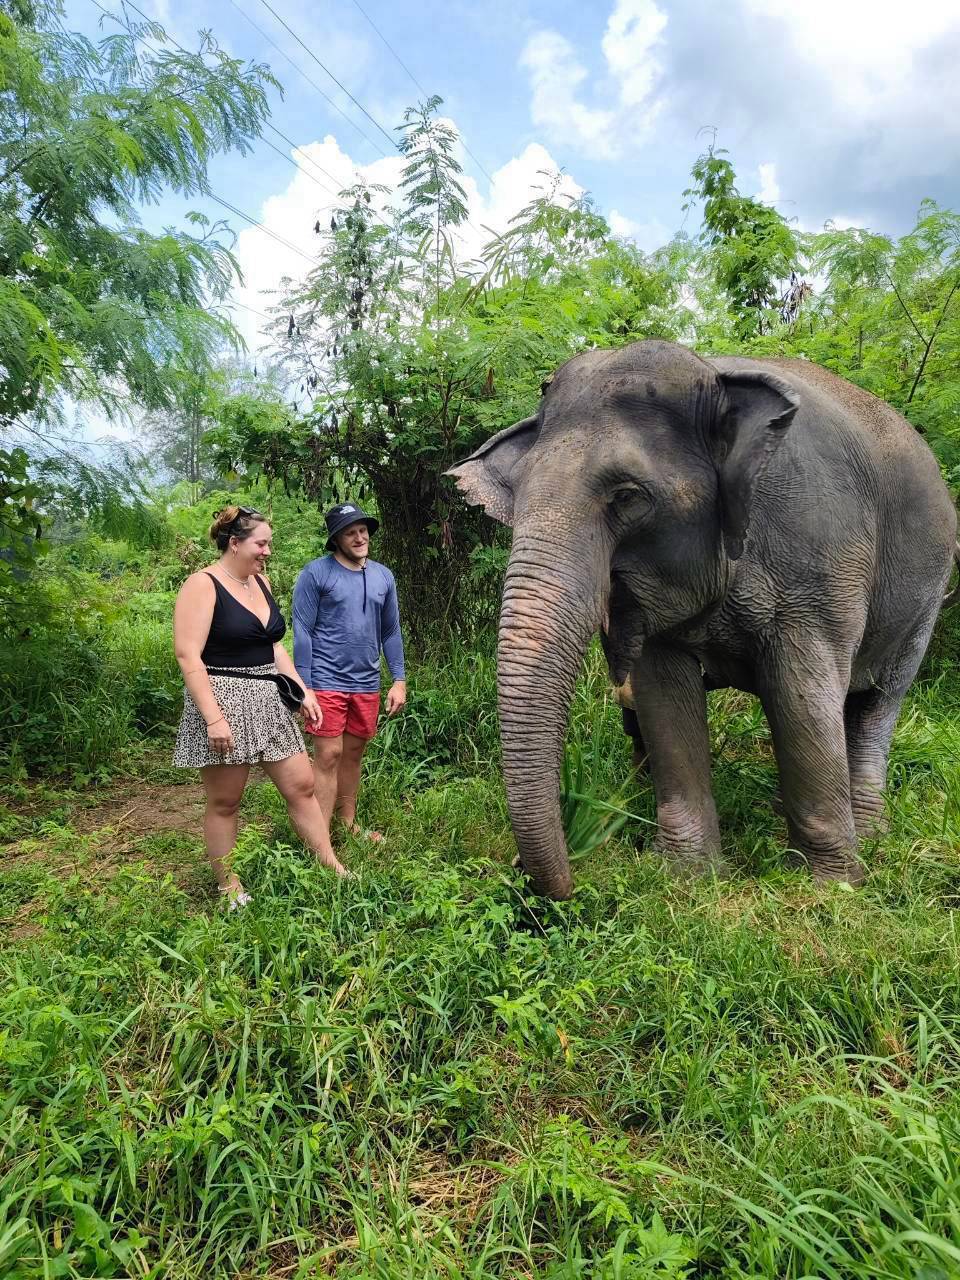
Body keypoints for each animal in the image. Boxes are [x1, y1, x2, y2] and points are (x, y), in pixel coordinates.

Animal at [447, 340, 959, 900]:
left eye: (627, 496)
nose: (541, 874)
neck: (714, 378)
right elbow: (663, 693)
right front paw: (688, 878)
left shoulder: (822, 554)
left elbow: (800, 692)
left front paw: (829, 889)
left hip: (929, 594)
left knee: (877, 701)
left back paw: (869, 833)